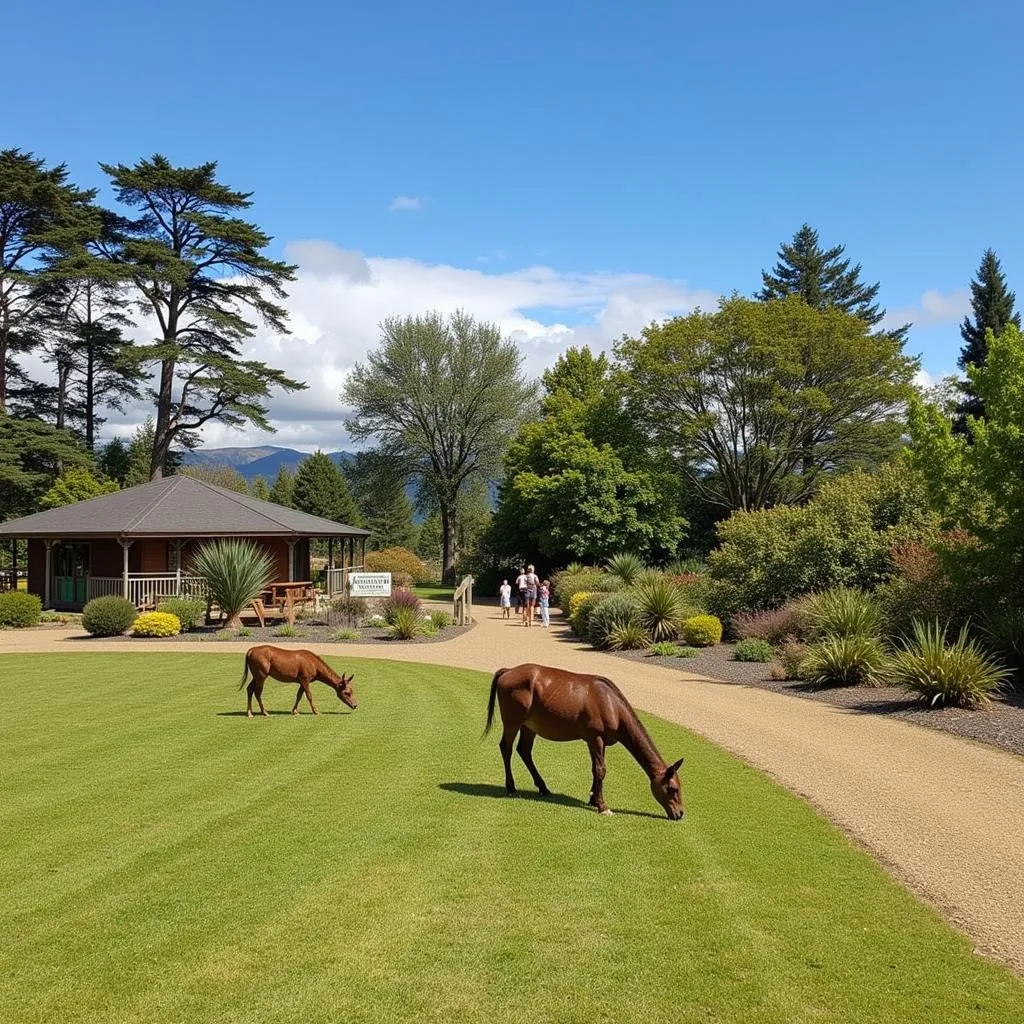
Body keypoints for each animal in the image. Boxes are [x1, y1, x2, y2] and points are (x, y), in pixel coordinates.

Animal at [483, 663, 684, 823]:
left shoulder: (599, 742)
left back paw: (543, 787)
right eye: (672, 789)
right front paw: (602, 806)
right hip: (513, 722)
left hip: (529, 726)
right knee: (506, 748)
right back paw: (511, 787)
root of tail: (508, 671)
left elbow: (596, 769)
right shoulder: (595, 738)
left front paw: (594, 799)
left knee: (524, 750)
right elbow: (600, 770)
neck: (610, 704)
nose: (680, 813)